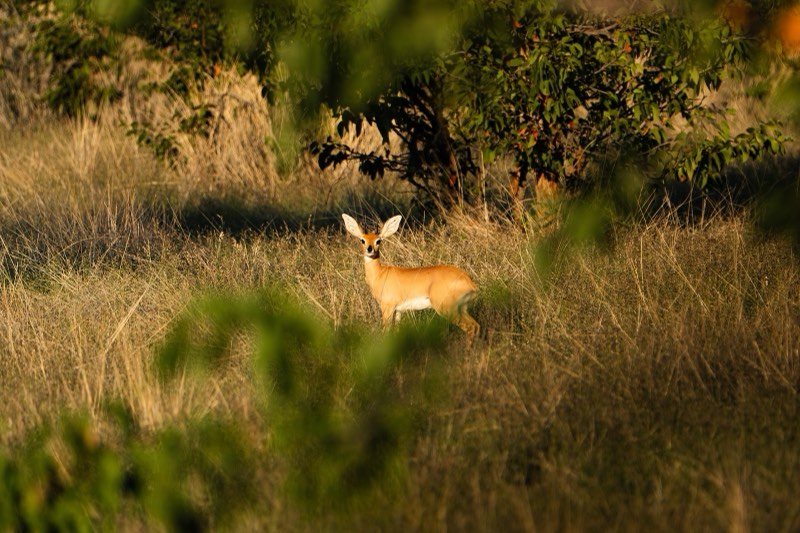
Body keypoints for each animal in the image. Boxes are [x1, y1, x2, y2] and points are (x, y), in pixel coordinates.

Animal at [342, 213, 480, 338]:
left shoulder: (387, 307)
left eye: (378, 240)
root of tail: (469, 282)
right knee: (476, 326)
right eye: (362, 240)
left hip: (447, 308)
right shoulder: (398, 311)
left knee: (470, 327)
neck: (380, 274)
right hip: (462, 308)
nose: (369, 249)